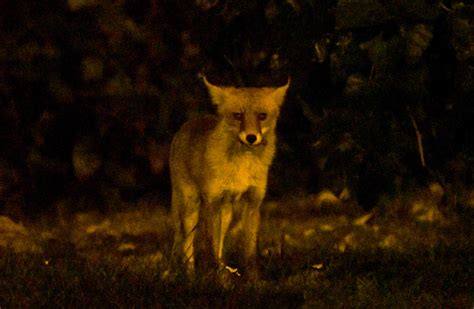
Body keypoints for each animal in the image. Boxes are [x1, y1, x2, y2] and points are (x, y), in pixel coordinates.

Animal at [170, 74, 288, 276]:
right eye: (238, 116)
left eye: (262, 116)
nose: (251, 137)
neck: (242, 165)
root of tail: (187, 124)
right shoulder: (212, 202)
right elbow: (210, 250)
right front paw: (218, 280)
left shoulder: (253, 202)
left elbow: (249, 252)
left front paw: (253, 280)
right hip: (191, 208)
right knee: (187, 245)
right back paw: (191, 275)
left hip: (226, 215)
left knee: (219, 248)